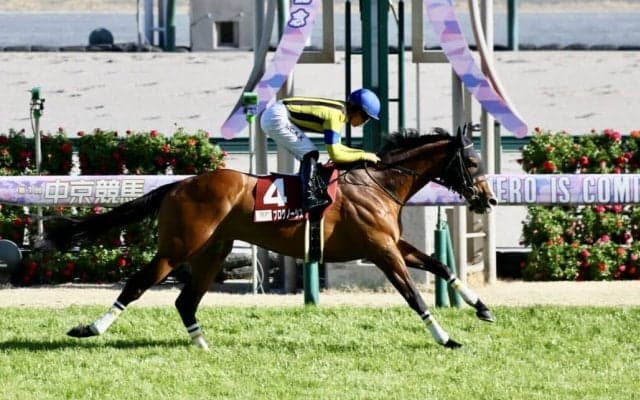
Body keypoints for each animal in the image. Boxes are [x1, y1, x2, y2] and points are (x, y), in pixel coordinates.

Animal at [37, 127, 498, 349]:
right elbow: (414, 296)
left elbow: (441, 265)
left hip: (213, 251)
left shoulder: (390, 244)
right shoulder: (381, 250)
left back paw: (202, 345)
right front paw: (446, 338)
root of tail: (178, 184)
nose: (489, 199)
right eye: (473, 162)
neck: (379, 182)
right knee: (136, 285)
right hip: (178, 247)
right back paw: (90, 329)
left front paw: (482, 308)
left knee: (185, 300)